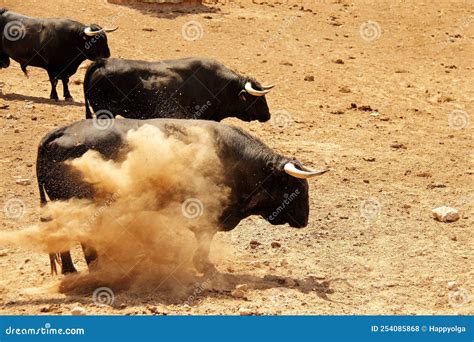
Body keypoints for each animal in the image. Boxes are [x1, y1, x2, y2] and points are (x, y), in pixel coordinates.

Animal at [37, 119, 328, 274]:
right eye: (297, 188)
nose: (305, 220)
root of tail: (60, 133)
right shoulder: (207, 214)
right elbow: (204, 240)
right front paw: (204, 266)